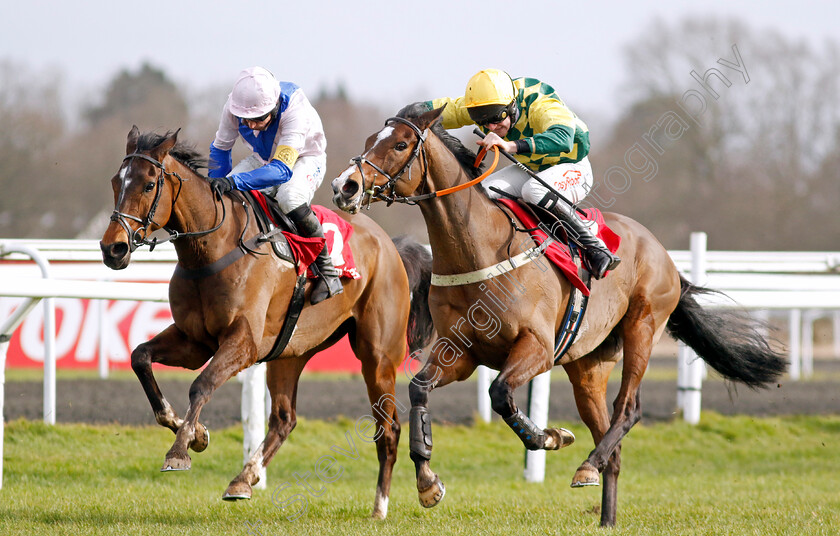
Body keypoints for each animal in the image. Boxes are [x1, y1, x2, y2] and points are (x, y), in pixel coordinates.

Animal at [100, 126, 434, 520]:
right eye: (115, 181)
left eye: (149, 184)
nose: (113, 249)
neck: (211, 249)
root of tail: (391, 245)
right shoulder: (193, 340)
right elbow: (140, 357)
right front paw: (192, 431)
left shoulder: (243, 342)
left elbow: (202, 384)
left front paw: (180, 450)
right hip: (290, 350)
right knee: (284, 418)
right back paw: (244, 479)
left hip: (377, 356)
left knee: (388, 427)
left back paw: (387, 503)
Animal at [334, 105, 788, 528]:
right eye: (371, 139)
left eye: (399, 145)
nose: (345, 186)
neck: (480, 248)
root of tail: (664, 254)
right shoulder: (460, 354)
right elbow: (419, 389)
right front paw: (427, 482)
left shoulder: (537, 348)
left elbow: (500, 393)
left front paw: (550, 436)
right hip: (588, 365)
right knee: (610, 440)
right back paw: (605, 516)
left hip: (642, 327)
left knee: (628, 409)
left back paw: (588, 465)